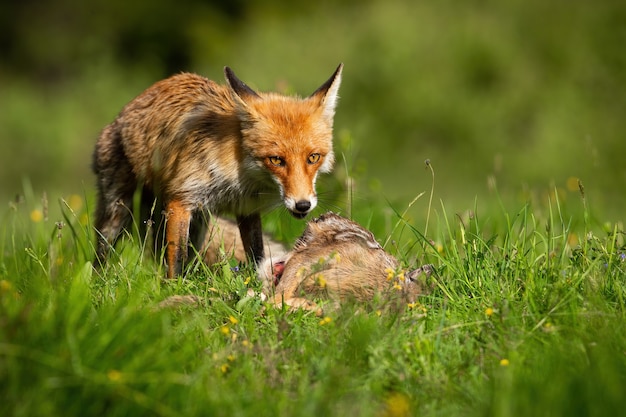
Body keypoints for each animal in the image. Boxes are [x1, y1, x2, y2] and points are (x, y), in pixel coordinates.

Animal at [92, 65, 342, 276]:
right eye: (276, 160)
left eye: (313, 157)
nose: (303, 205)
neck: (240, 175)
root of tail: (123, 113)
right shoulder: (180, 200)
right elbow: (176, 260)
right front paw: (173, 288)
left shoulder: (247, 209)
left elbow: (257, 255)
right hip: (116, 213)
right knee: (101, 254)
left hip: (197, 224)